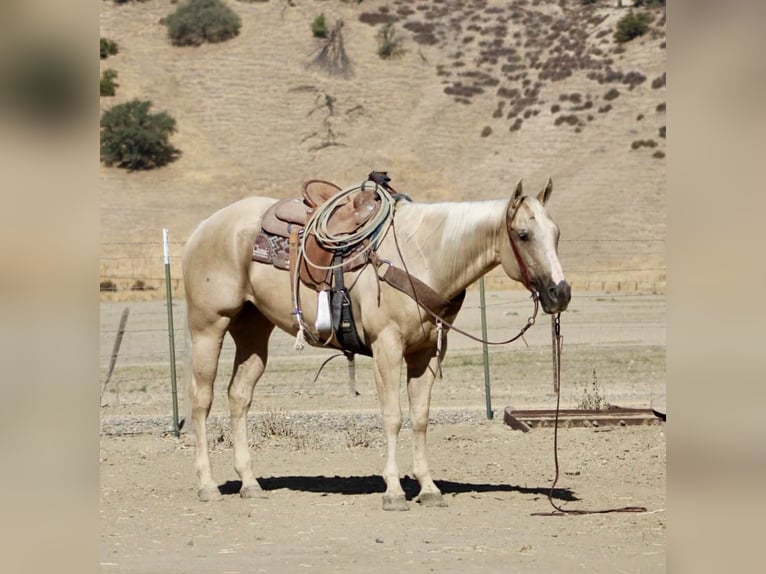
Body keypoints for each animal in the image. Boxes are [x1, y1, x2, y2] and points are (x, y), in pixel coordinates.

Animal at [181, 177, 571, 510]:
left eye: (556, 233)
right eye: (523, 234)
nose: (560, 293)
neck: (424, 254)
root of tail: (202, 228)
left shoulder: (427, 353)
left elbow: (420, 418)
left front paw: (428, 488)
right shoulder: (387, 346)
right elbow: (393, 417)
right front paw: (394, 491)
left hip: (253, 330)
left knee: (238, 396)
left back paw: (250, 483)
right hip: (208, 327)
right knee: (201, 400)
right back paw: (207, 485)